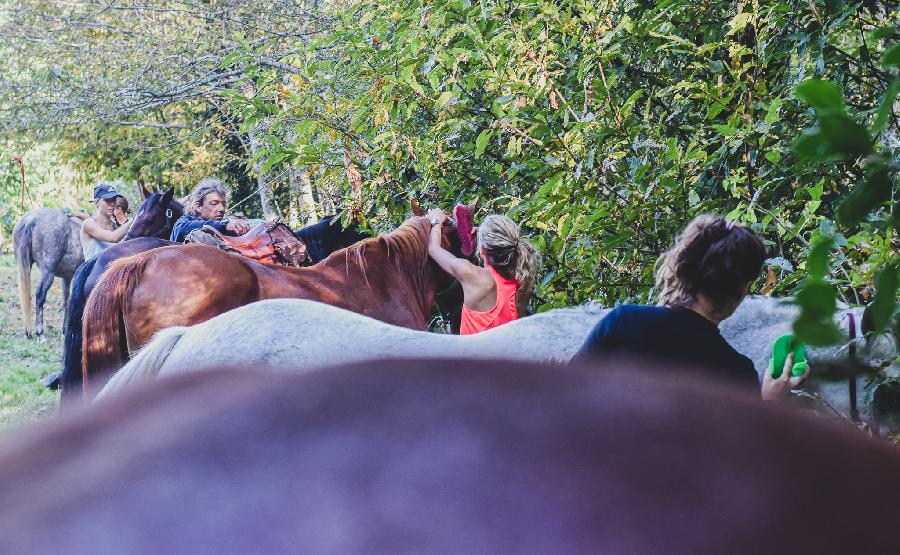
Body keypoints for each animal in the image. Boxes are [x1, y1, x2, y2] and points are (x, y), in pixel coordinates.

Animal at [13, 208, 82, 338]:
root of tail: (31, 219)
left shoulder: (67, 277)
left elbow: (67, 301)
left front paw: (65, 330)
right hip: (48, 272)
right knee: (40, 296)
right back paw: (40, 333)